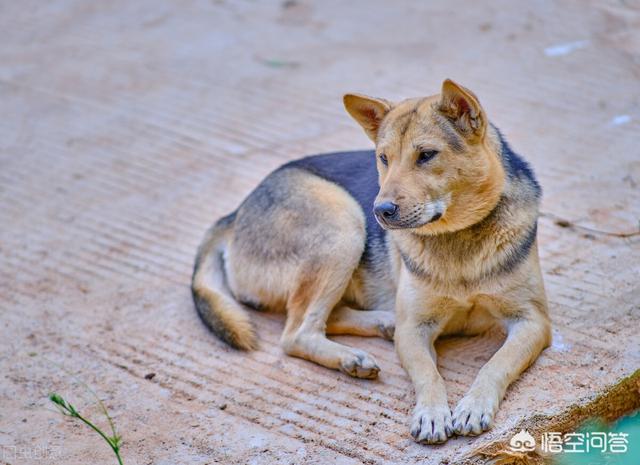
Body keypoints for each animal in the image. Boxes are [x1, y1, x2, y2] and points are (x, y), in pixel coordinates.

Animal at [190, 80, 552, 442]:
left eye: (426, 155)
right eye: (383, 158)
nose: (381, 211)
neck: (457, 235)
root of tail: (235, 213)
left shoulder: (532, 321)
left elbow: (496, 363)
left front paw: (474, 404)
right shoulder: (413, 330)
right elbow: (429, 374)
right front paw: (432, 413)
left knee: (324, 318)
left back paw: (380, 325)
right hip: (343, 223)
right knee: (296, 333)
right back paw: (352, 357)